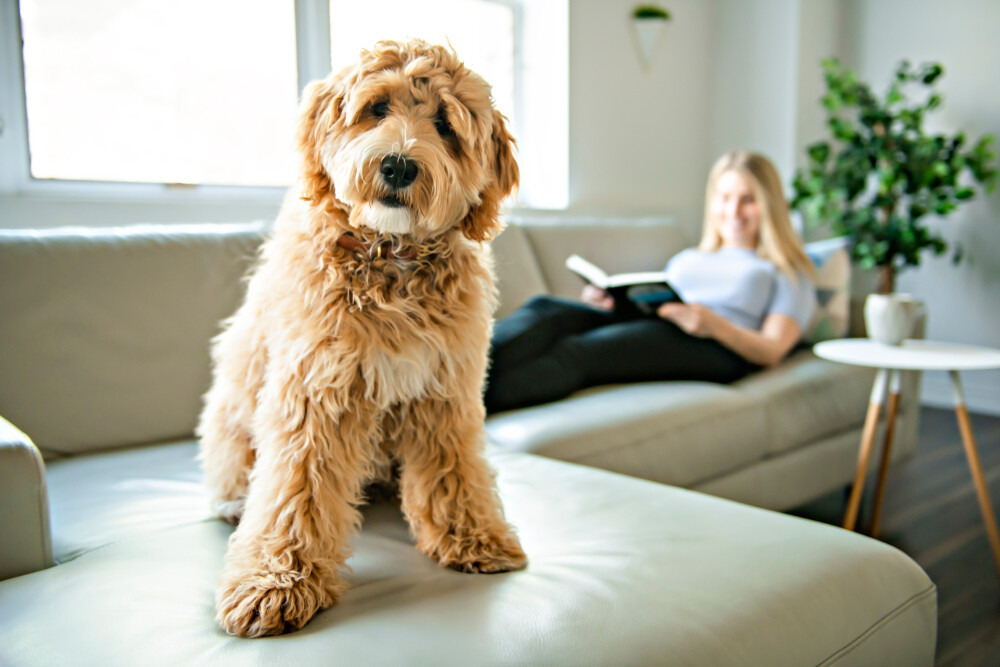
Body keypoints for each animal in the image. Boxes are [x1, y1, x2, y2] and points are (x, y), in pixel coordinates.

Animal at [193, 39, 524, 640]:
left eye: (445, 124)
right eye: (376, 108)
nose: (397, 164)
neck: (391, 256)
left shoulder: (445, 392)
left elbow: (456, 471)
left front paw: (475, 537)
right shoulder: (315, 393)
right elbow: (294, 491)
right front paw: (275, 581)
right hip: (232, 411)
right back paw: (231, 501)